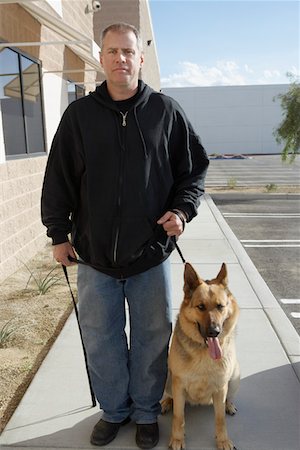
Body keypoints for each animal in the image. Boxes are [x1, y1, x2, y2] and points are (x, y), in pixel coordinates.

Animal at [161, 262, 240, 448]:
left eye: (220, 306)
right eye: (201, 307)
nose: (214, 332)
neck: (204, 353)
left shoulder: (221, 388)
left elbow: (220, 419)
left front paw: (223, 440)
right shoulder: (179, 385)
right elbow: (178, 417)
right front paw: (177, 439)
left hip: (235, 377)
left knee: (228, 398)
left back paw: (229, 405)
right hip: (167, 376)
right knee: (170, 397)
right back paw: (167, 402)